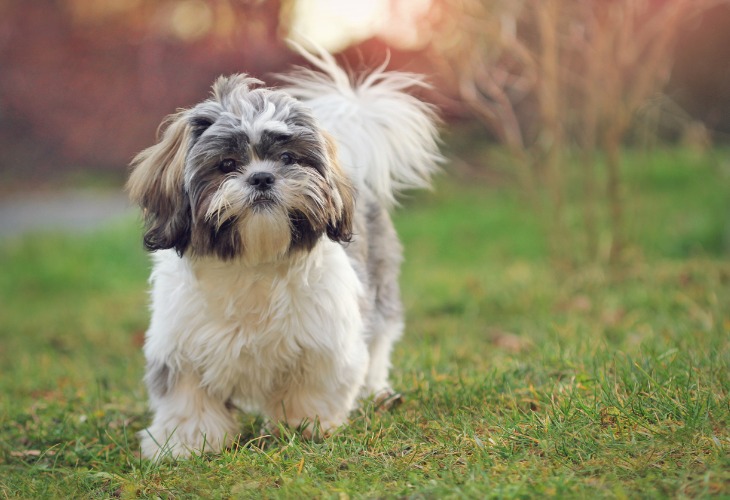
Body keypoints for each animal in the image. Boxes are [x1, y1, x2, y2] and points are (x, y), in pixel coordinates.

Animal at [126, 45, 438, 458]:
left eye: (288, 159)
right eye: (227, 164)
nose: (262, 177)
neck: (254, 261)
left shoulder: (325, 341)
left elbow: (313, 388)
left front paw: (305, 426)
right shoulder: (180, 346)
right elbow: (187, 398)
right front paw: (186, 442)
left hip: (380, 290)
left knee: (378, 344)